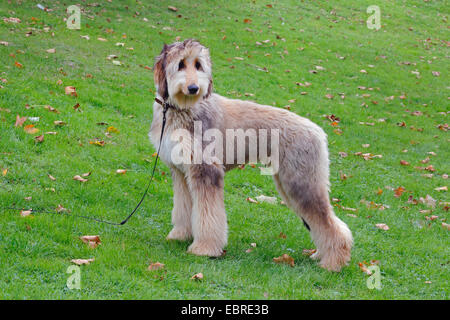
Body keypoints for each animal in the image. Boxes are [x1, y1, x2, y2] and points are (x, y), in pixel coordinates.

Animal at [149, 38, 354, 272]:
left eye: (198, 65)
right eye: (181, 64)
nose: (194, 88)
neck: (183, 110)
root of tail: (318, 132)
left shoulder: (206, 171)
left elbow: (208, 215)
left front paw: (204, 248)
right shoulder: (181, 173)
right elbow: (183, 208)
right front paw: (180, 235)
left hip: (302, 183)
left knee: (329, 222)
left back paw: (333, 262)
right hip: (290, 184)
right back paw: (321, 255)